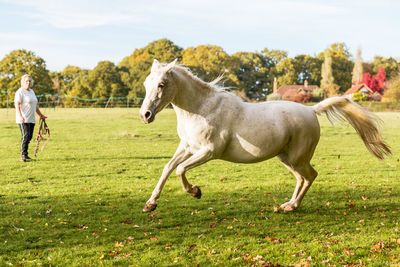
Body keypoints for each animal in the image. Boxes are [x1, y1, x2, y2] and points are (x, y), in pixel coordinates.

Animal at [138, 59, 390, 214]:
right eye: (146, 83)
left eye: (162, 84)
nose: (145, 115)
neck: (202, 108)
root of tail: (311, 110)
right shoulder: (187, 147)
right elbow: (168, 168)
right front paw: (150, 204)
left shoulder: (208, 151)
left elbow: (180, 170)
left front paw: (195, 192)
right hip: (286, 158)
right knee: (301, 178)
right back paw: (287, 204)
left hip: (297, 158)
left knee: (310, 176)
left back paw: (292, 207)